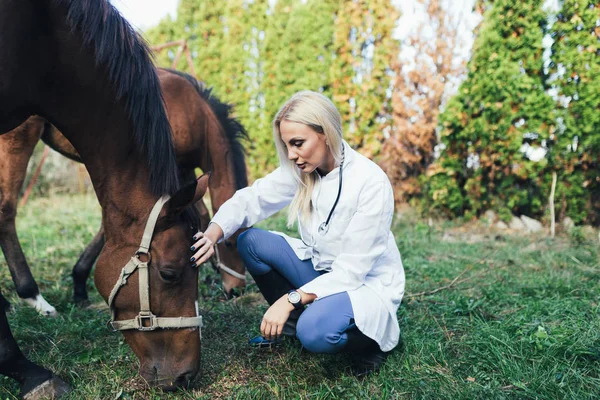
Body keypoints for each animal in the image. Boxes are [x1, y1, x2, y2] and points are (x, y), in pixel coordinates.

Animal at [0, 69, 248, 318]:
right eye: (229, 244)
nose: (236, 290)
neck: (193, 111)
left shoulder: (183, 175)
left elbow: (200, 216)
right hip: (18, 138)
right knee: (6, 210)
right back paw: (34, 297)